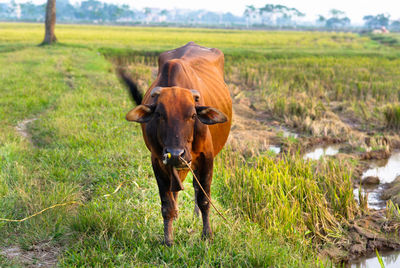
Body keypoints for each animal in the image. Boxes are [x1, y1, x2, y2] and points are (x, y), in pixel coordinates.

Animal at [119, 41, 231, 245]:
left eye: (193, 115)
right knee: (176, 190)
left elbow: (204, 199)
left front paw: (207, 234)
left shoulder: (207, 158)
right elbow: (167, 203)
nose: (175, 153)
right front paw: (168, 239)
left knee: (195, 188)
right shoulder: (158, 160)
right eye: (159, 114)